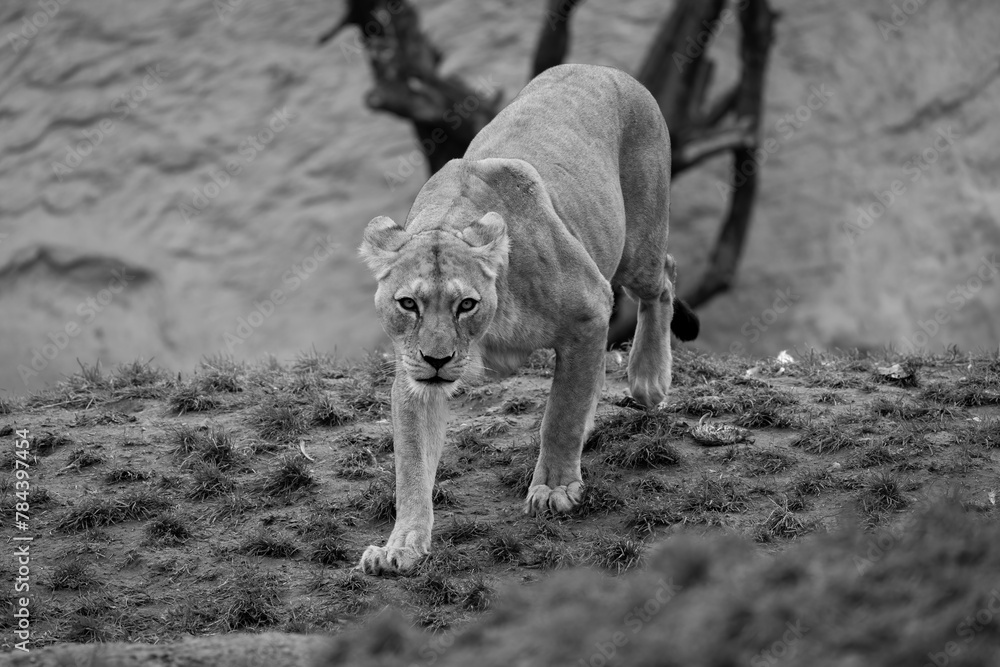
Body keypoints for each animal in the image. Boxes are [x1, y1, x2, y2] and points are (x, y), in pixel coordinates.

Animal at [357, 63, 699, 575]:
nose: (437, 360)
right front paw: (401, 545)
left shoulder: (589, 308)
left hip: (637, 247)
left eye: (466, 304)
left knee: (665, 278)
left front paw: (555, 488)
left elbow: (560, 415)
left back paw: (648, 377)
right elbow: (412, 463)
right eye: (408, 304)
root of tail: (606, 69)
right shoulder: (412, 374)